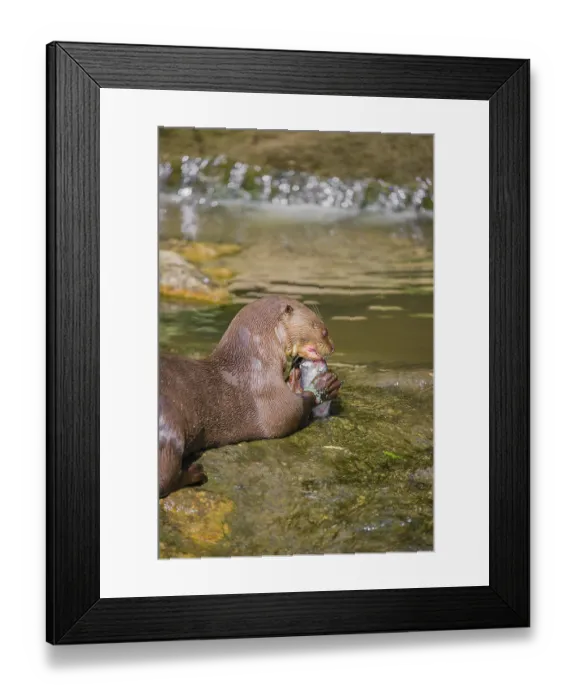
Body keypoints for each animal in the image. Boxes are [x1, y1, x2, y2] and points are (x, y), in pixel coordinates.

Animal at [159, 296, 341, 498]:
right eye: (324, 331)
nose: (333, 347)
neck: (256, 362)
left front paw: (296, 379)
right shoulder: (267, 397)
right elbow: (291, 412)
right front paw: (324, 385)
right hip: (171, 425)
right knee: (165, 479)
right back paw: (196, 473)